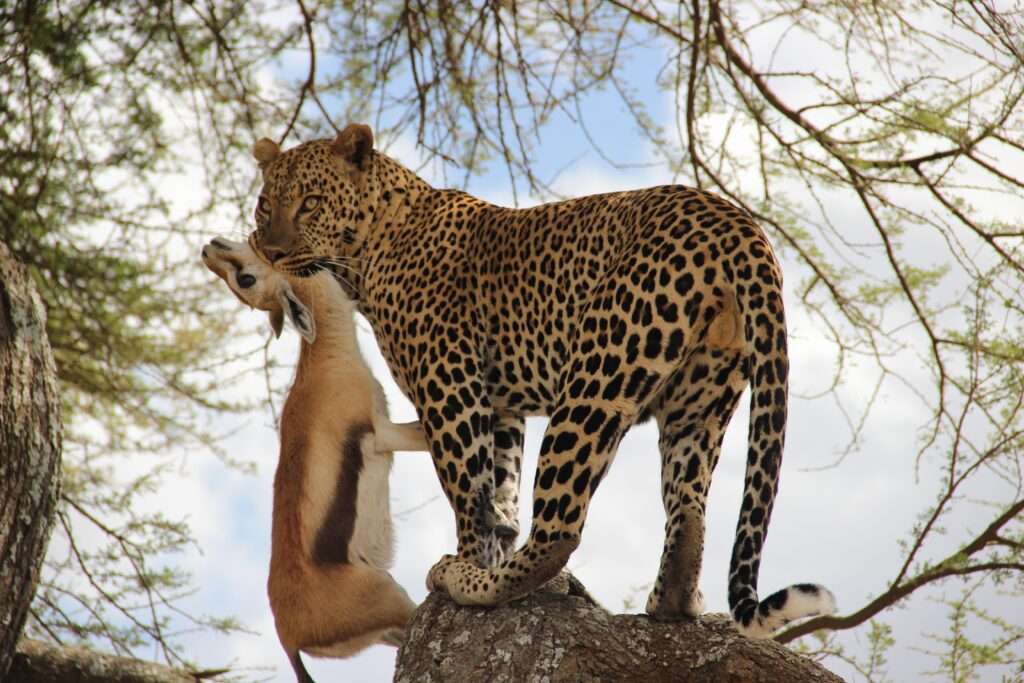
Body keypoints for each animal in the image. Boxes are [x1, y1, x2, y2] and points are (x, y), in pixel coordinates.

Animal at [246, 123, 837, 637]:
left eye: (310, 202)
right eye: (265, 204)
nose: (270, 249)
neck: (368, 250)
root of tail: (737, 222)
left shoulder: (449, 388)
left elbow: (469, 493)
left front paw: (472, 565)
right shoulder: (499, 405)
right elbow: (499, 491)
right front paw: (493, 545)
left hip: (596, 378)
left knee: (559, 528)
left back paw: (472, 581)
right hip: (703, 398)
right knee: (688, 507)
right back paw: (670, 603)